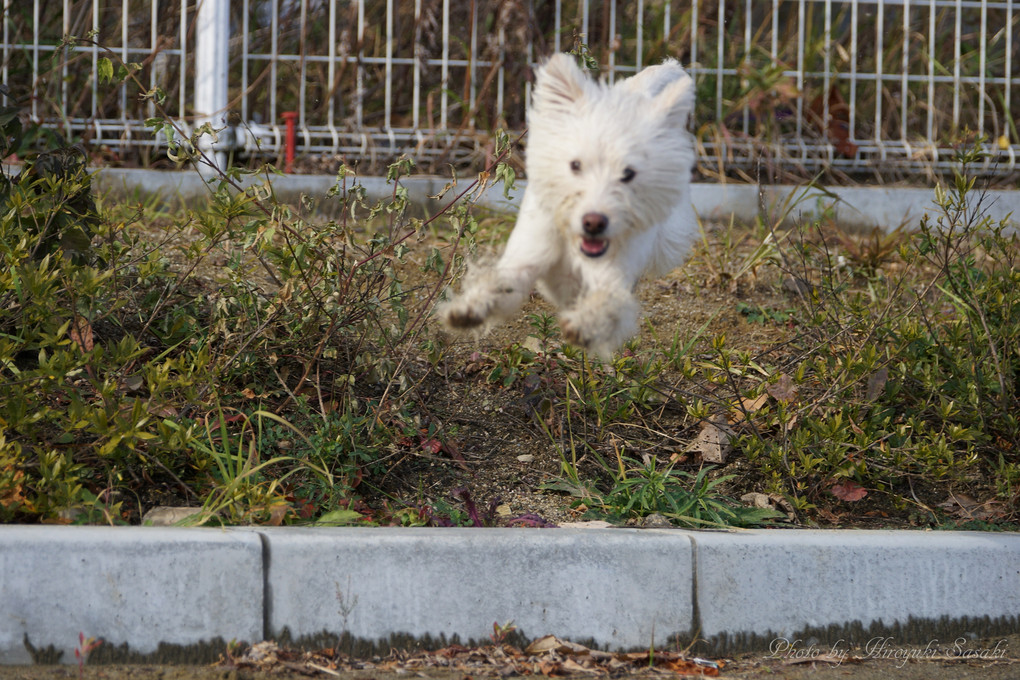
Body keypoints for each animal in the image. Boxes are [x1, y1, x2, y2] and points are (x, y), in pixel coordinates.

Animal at [440, 54, 701, 356]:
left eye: (628, 173)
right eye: (575, 165)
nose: (594, 222)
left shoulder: (611, 276)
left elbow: (606, 303)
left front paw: (585, 326)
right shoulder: (526, 257)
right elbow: (499, 284)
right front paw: (468, 309)